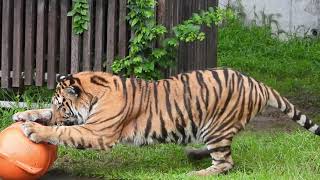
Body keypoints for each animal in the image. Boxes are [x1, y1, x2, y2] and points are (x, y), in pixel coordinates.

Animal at [11, 68, 318, 176]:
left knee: (226, 164)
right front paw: (23, 115)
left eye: (61, 104)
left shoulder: (98, 132)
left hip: (216, 127)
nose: (57, 112)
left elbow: (61, 131)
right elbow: (50, 119)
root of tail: (257, 83)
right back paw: (193, 154)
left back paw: (196, 173)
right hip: (213, 129)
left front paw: (34, 129)